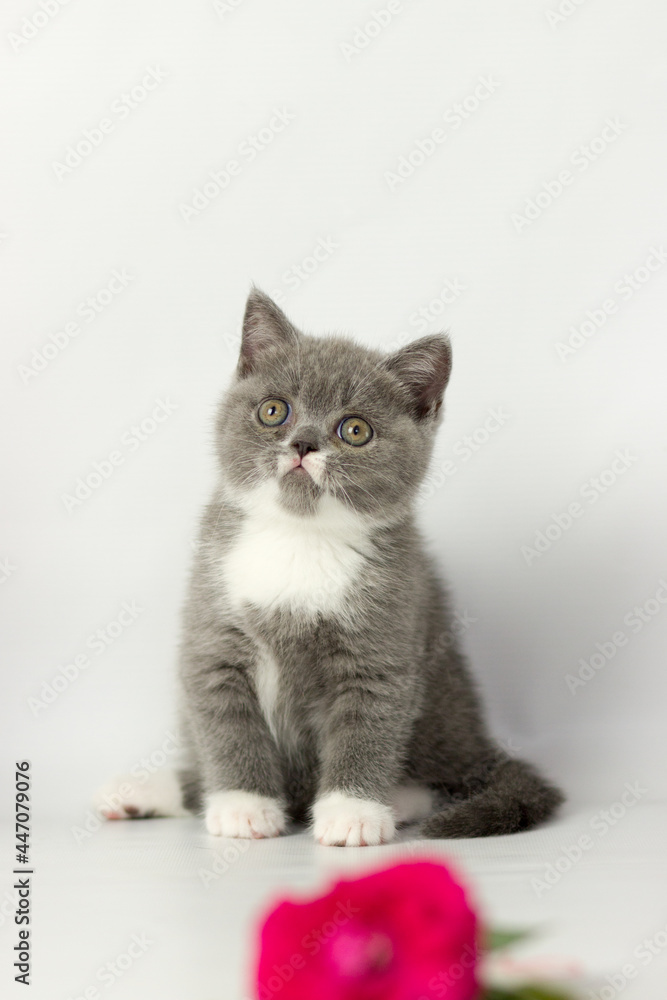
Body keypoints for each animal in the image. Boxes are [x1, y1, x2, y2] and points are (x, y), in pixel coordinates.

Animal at [94, 288, 564, 844]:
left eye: (355, 430)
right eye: (274, 410)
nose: (302, 443)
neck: (301, 538)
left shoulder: (382, 643)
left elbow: (367, 729)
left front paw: (353, 812)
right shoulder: (212, 634)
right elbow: (227, 726)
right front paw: (243, 805)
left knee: (443, 776)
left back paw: (400, 798)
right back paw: (141, 792)